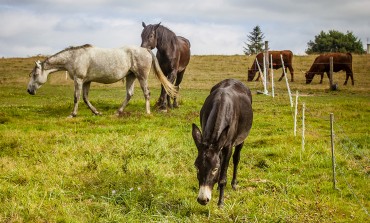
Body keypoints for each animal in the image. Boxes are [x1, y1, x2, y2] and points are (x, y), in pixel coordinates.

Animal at [27, 43, 178, 116]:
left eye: (34, 75)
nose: (29, 90)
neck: (75, 57)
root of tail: (145, 50)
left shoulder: (79, 80)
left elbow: (76, 97)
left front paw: (73, 114)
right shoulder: (86, 81)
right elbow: (85, 98)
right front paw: (97, 112)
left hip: (141, 77)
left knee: (146, 93)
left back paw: (147, 112)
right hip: (130, 76)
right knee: (129, 94)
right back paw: (118, 112)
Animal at [192, 79, 253, 207]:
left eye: (215, 169)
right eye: (196, 167)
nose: (203, 200)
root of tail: (233, 79)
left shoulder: (228, 146)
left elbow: (223, 177)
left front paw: (221, 203)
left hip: (241, 139)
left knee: (236, 159)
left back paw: (234, 183)